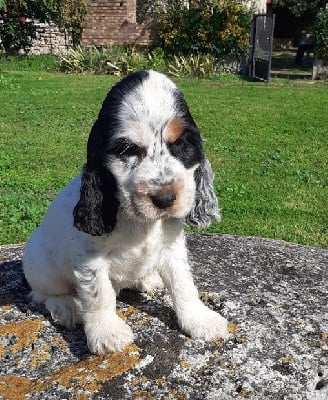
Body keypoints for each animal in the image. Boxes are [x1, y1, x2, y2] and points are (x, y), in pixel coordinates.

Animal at [22, 70, 228, 354]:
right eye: (128, 149)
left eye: (180, 145)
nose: (165, 198)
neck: (141, 223)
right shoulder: (90, 258)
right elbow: (99, 295)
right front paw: (107, 333)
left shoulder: (172, 247)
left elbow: (183, 285)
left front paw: (201, 321)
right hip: (41, 265)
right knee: (43, 294)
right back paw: (67, 308)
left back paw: (148, 279)